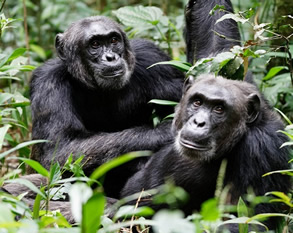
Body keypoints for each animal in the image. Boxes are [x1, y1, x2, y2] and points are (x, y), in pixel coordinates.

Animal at [30, 15, 185, 197]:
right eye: (95, 44)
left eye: (113, 40)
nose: (111, 57)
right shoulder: (48, 82)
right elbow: (61, 148)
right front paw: (168, 131)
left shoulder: (154, 59)